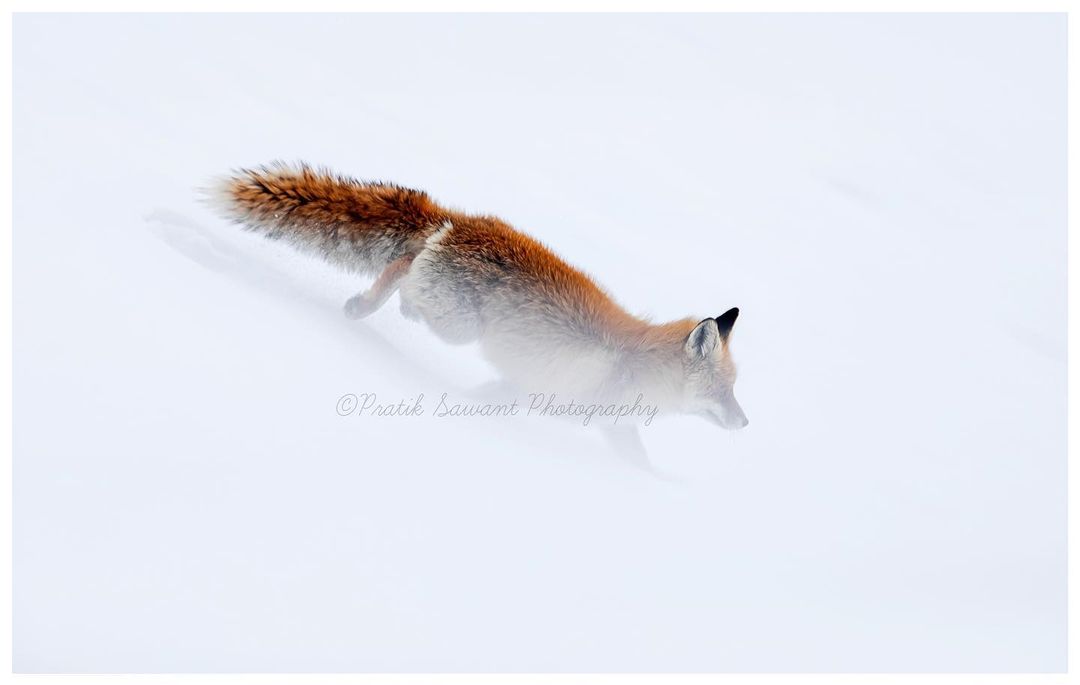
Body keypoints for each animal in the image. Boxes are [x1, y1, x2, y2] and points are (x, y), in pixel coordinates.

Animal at [209, 162, 748, 434]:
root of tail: (460, 220)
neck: (635, 365)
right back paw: (366, 305)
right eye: (722, 392)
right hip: (457, 325)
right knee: (402, 270)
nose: (745, 422)